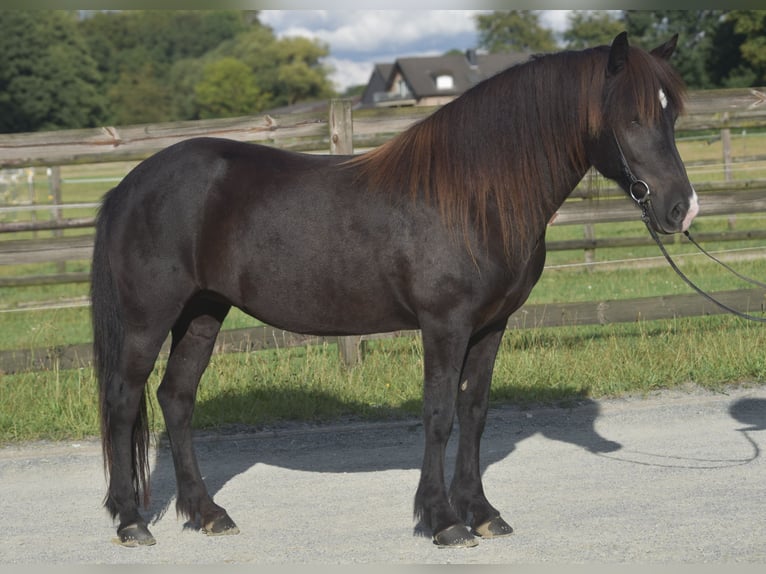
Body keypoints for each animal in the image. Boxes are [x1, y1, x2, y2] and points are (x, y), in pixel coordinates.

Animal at [91, 32, 698, 549]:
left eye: (671, 113)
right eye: (632, 116)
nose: (681, 208)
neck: (476, 194)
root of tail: (130, 185)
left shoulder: (491, 325)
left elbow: (474, 411)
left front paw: (482, 513)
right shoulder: (445, 325)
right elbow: (439, 414)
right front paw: (443, 521)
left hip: (202, 314)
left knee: (176, 398)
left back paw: (207, 513)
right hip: (149, 319)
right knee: (123, 401)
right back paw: (130, 520)